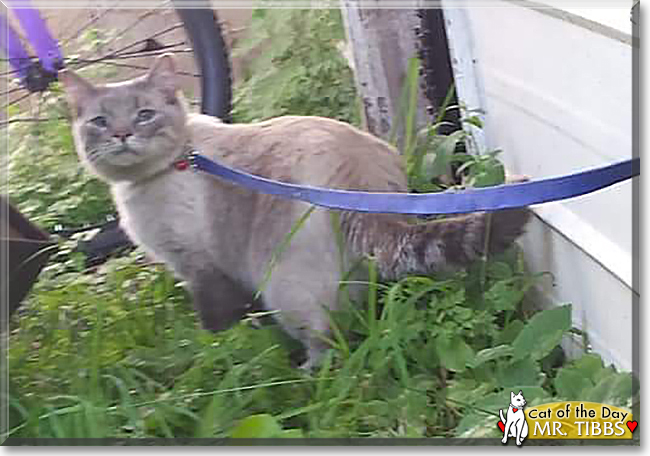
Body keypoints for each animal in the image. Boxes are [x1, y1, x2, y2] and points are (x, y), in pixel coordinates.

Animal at [58, 54, 528, 366]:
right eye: (99, 122)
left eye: (144, 115)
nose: (121, 135)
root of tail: (359, 179)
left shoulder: (198, 267)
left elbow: (215, 321)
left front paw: (216, 349)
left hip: (284, 291)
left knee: (330, 346)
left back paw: (305, 374)